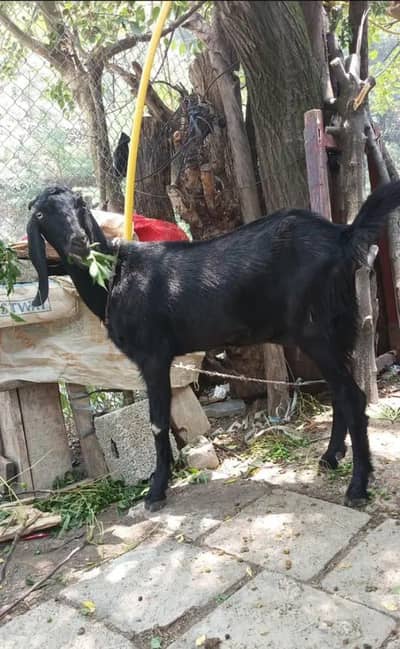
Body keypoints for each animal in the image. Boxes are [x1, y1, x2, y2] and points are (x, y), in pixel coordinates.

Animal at [27, 182, 400, 511]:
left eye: (80, 204)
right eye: (42, 214)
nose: (79, 242)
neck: (117, 277)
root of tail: (342, 236)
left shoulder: (153, 356)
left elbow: (158, 423)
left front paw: (156, 490)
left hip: (316, 331)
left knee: (353, 396)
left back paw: (357, 486)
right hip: (338, 329)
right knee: (340, 393)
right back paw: (330, 457)